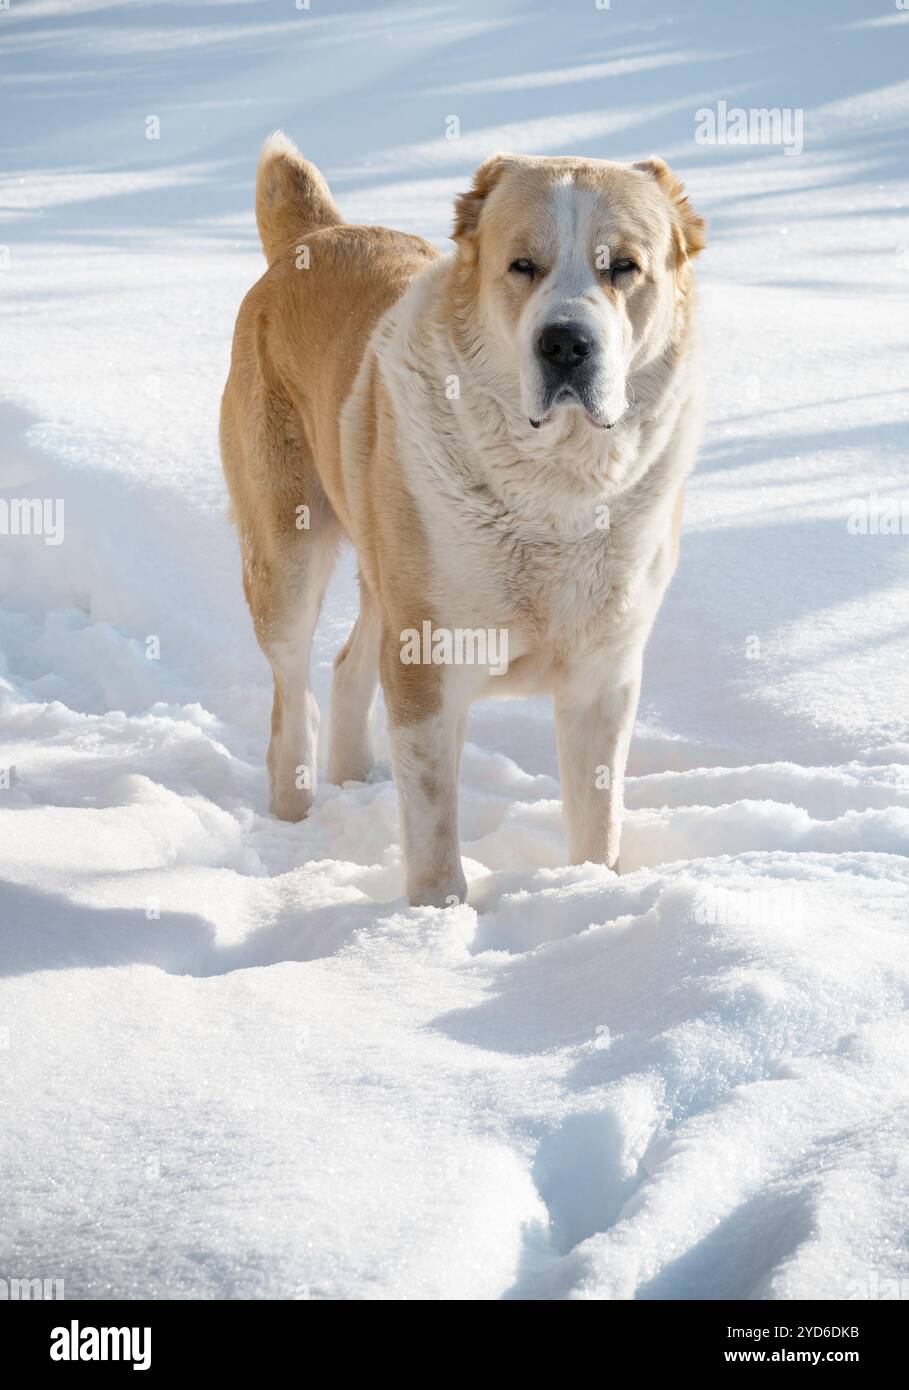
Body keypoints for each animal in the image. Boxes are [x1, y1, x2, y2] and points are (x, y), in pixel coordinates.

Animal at [220, 135, 706, 906]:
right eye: (522, 266)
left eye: (624, 267)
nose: (565, 344)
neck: (553, 489)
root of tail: (313, 235)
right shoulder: (426, 663)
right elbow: (432, 824)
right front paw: (437, 917)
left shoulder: (603, 677)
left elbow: (596, 820)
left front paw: (589, 894)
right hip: (285, 558)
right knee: (291, 693)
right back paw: (294, 811)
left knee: (347, 665)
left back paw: (352, 777)